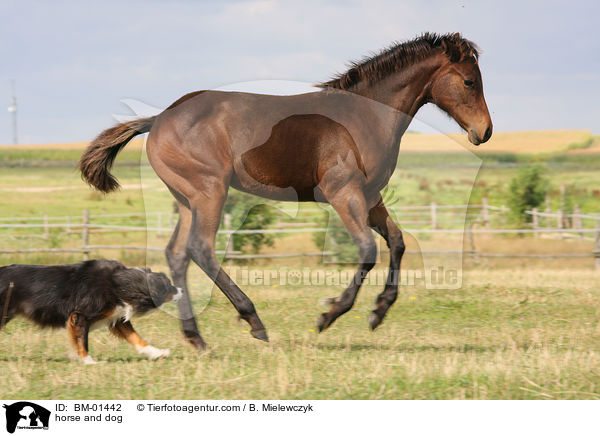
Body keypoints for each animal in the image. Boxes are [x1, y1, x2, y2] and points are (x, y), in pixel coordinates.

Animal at [0, 258, 183, 364]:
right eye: (169, 286)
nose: (181, 290)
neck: (121, 284)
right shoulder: (80, 316)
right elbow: (82, 340)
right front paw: (88, 361)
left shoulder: (116, 319)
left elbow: (136, 338)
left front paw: (157, 353)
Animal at [79, 32, 492, 350]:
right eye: (469, 81)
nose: (484, 132)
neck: (364, 116)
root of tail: (159, 118)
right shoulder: (344, 194)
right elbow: (367, 250)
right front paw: (329, 314)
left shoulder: (371, 197)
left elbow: (397, 241)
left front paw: (379, 311)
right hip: (209, 192)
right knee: (201, 249)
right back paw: (253, 321)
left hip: (186, 200)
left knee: (177, 254)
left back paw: (195, 337)